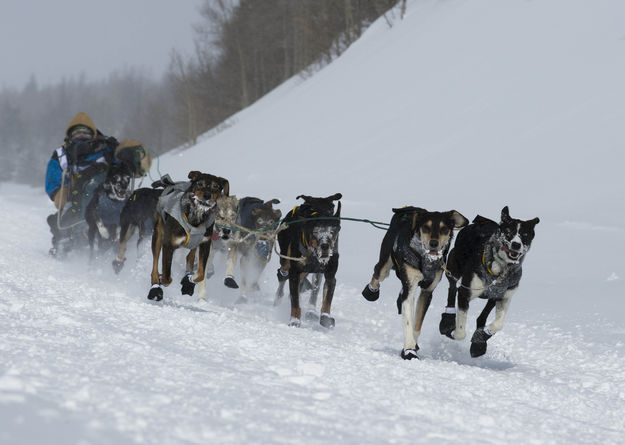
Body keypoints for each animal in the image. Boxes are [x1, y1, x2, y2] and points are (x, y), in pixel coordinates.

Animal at [147, 172, 229, 300]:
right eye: (200, 183)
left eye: (216, 186)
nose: (207, 195)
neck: (195, 216)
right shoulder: (168, 244)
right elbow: (166, 277)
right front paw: (161, 279)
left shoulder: (205, 243)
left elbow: (200, 274)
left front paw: (190, 279)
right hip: (158, 235)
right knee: (155, 264)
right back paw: (155, 286)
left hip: (194, 243)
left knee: (190, 257)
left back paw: (187, 278)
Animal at [274, 193, 342, 328]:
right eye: (315, 231)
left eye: (332, 231)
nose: (325, 246)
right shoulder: (294, 272)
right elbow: (295, 300)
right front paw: (294, 320)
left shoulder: (330, 274)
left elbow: (327, 298)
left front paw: (326, 317)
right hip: (286, 259)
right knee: (282, 275)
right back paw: (278, 298)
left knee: (314, 285)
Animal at [360, 206, 468, 360]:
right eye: (426, 227)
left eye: (444, 229)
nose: (433, 243)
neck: (425, 260)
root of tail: (409, 208)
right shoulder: (410, 288)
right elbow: (408, 322)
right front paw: (409, 350)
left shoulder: (427, 292)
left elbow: (417, 324)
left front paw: (413, 346)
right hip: (385, 264)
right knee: (377, 273)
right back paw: (371, 292)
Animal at [438, 206, 536, 358]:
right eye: (508, 232)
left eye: (525, 234)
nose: (516, 244)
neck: (499, 270)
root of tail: (482, 221)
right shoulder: (465, 292)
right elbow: (460, 333)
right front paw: (452, 330)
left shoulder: (504, 296)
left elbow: (498, 324)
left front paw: (481, 337)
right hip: (453, 265)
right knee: (452, 288)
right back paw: (447, 321)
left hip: (492, 296)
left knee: (483, 315)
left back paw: (479, 343)